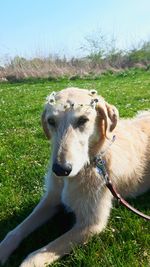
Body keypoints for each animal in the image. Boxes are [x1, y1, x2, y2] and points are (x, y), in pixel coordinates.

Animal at [0, 87, 150, 266]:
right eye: (51, 121)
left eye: (83, 120)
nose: (60, 170)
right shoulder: (51, 199)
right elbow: (15, 231)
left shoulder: (91, 224)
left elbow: (35, 255)